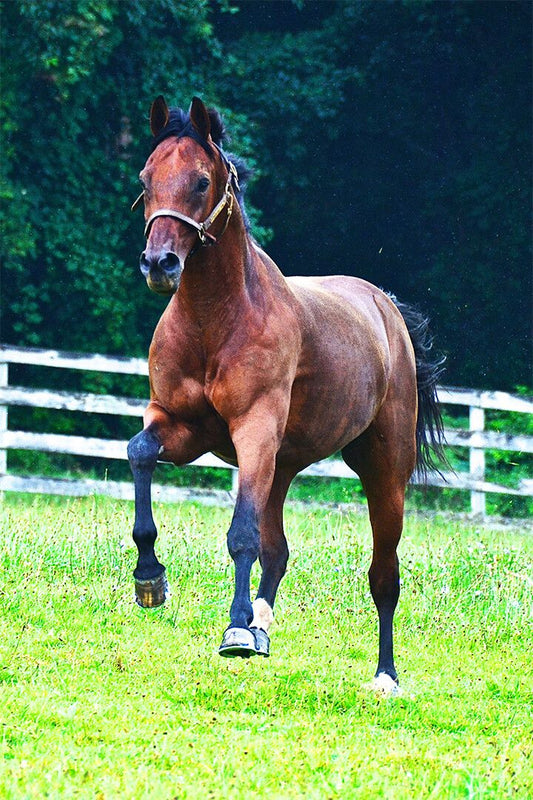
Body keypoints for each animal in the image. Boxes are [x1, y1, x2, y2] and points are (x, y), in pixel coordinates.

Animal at [128, 95, 445, 691]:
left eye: (201, 181)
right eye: (145, 178)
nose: (160, 265)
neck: (216, 321)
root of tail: (387, 308)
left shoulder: (253, 431)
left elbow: (241, 535)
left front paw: (232, 630)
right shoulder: (179, 424)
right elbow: (140, 454)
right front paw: (150, 579)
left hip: (381, 469)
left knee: (383, 574)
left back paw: (384, 675)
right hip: (280, 466)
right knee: (278, 553)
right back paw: (261, 627)